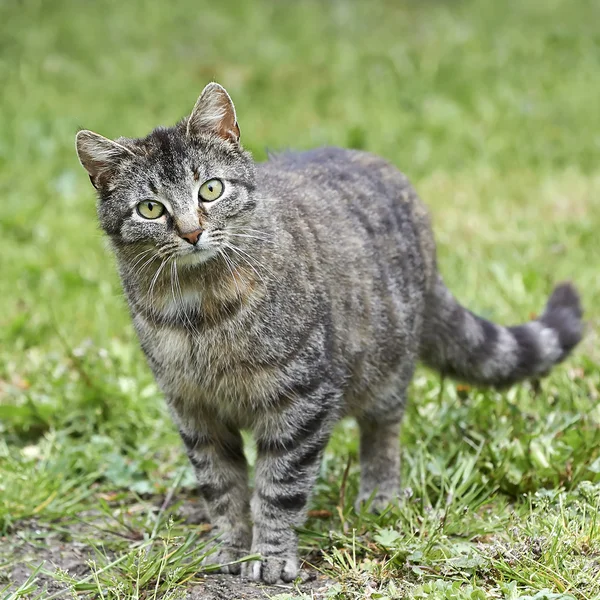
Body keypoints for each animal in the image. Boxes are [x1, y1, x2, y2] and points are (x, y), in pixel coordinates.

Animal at [74, 82, 580, 584]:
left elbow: (279, 486)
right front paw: (230, 549)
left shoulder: (302, 398)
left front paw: (271, 555)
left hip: (386, 365)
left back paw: (379, 493)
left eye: (211, 189)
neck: (198, 313)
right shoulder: (193, 410)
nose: (192, 232)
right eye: (151, 208)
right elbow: (221, 487)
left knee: (384, 427)